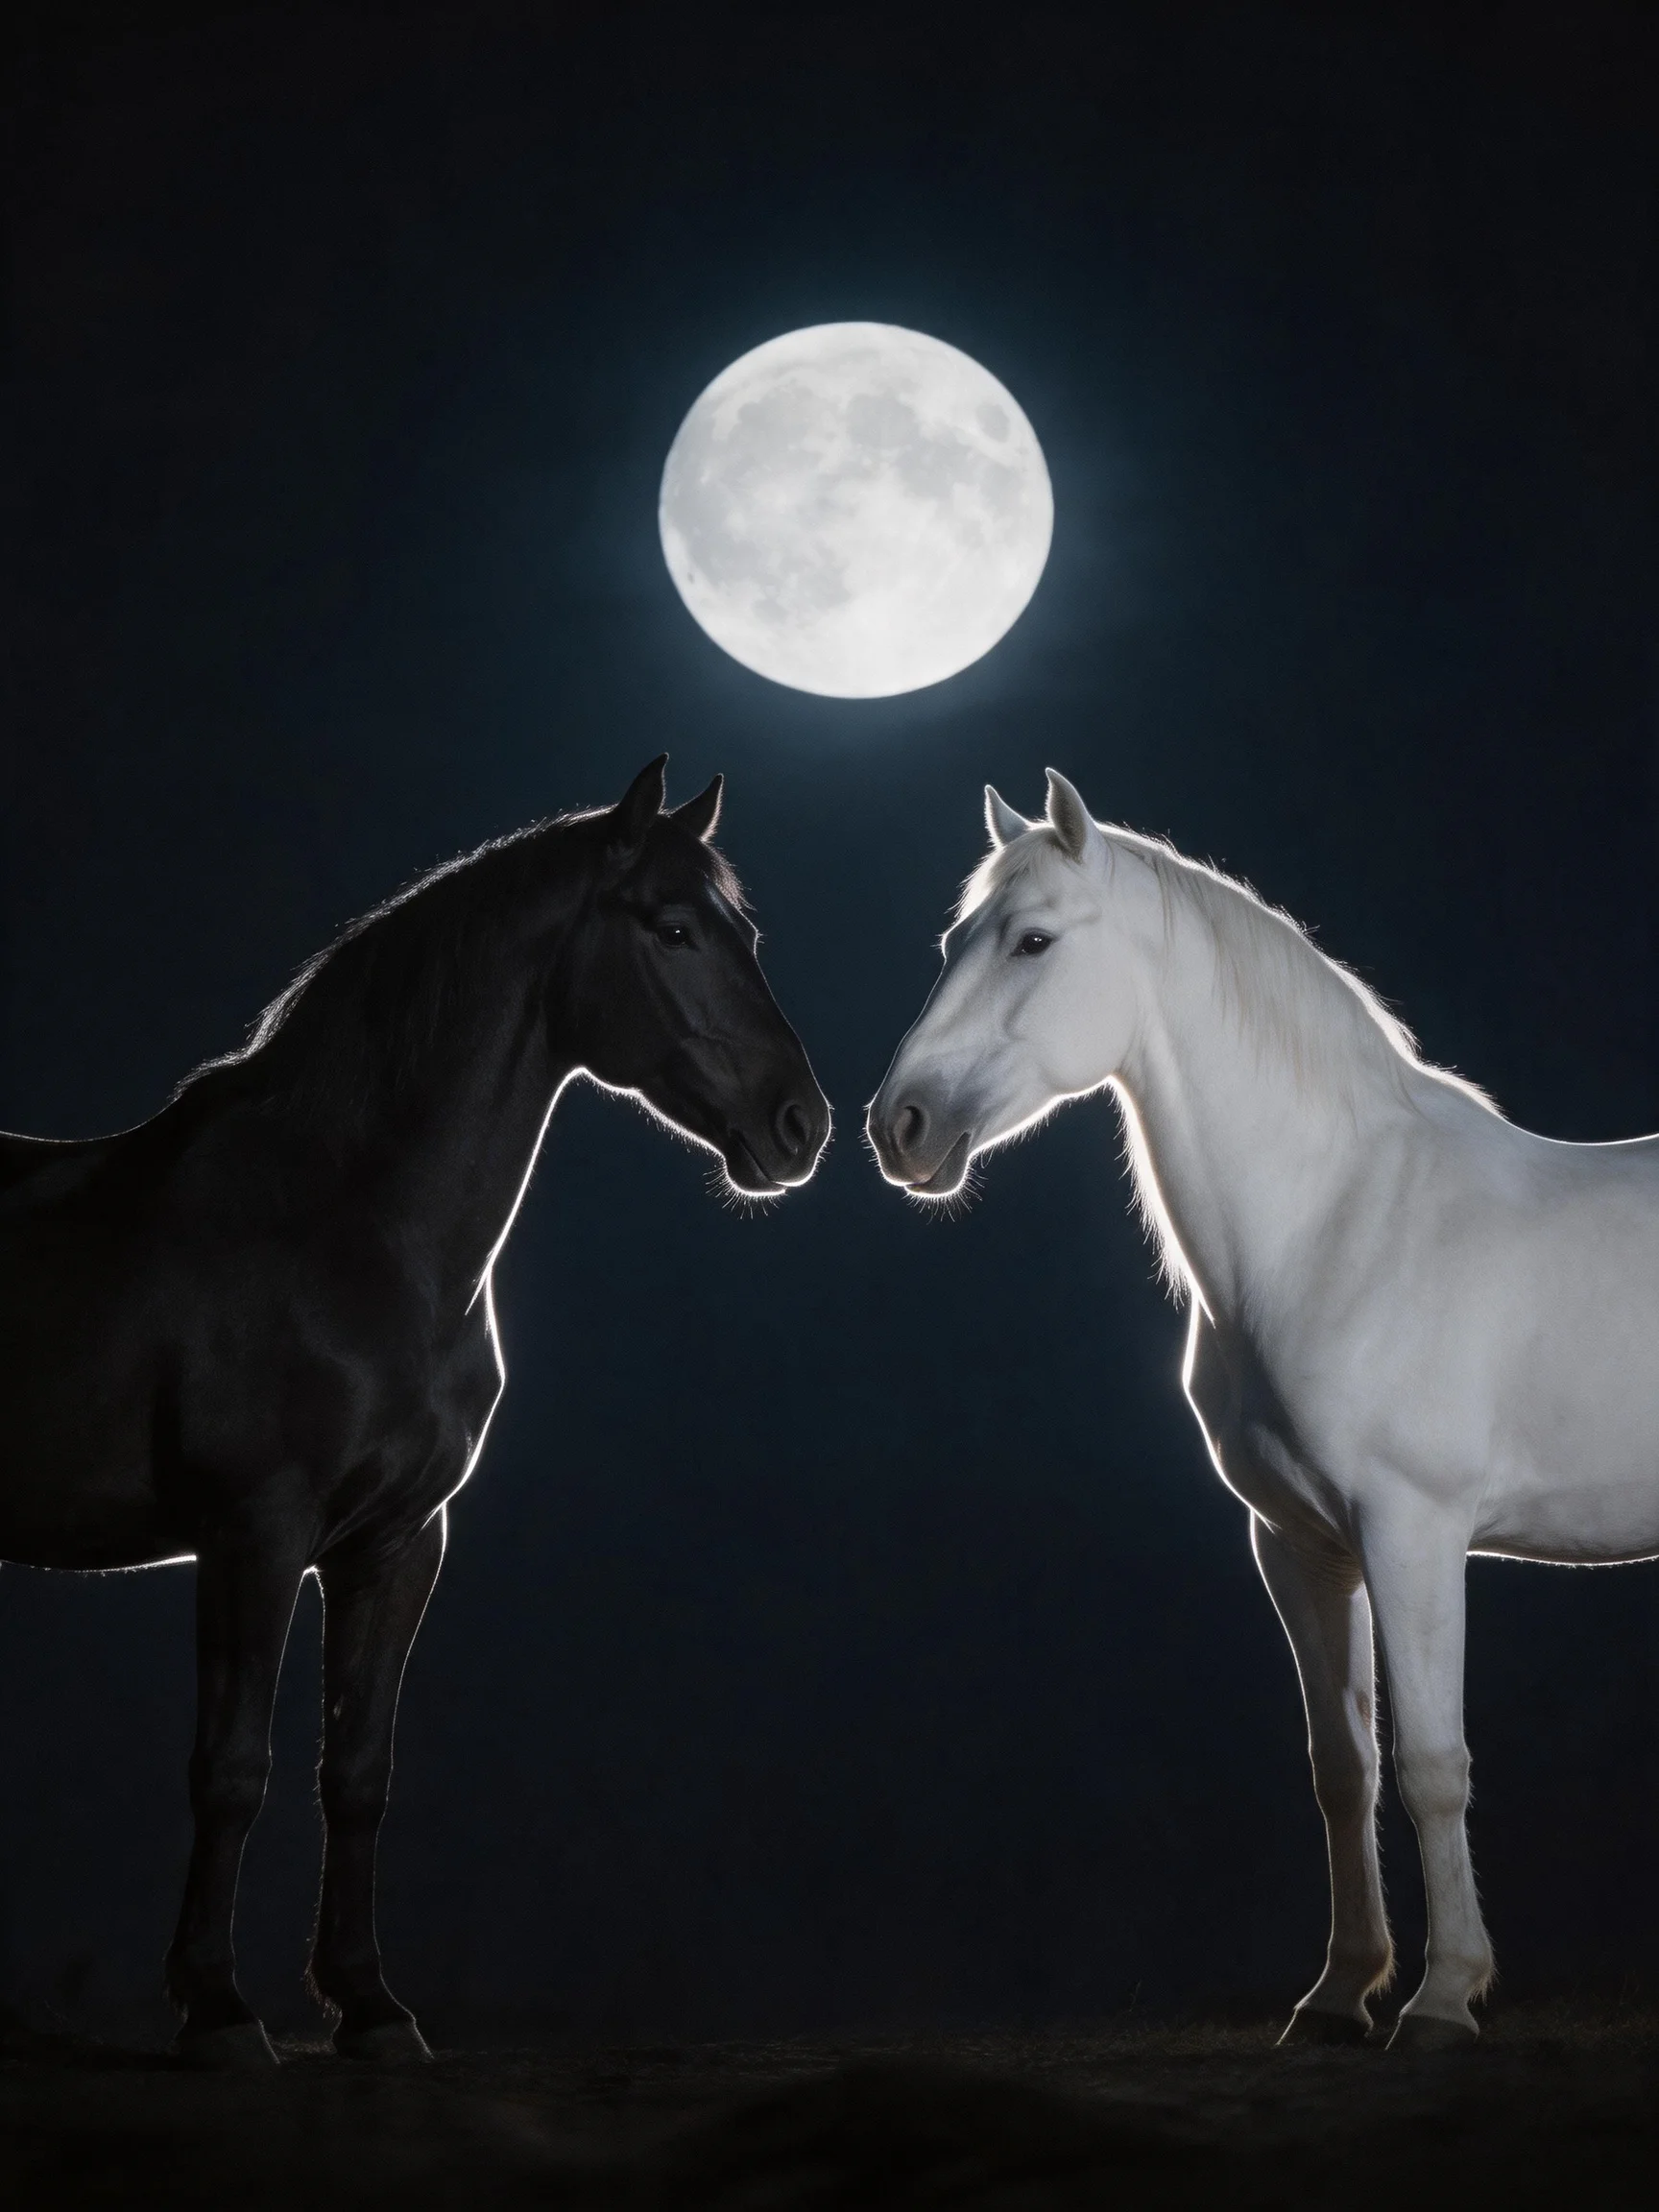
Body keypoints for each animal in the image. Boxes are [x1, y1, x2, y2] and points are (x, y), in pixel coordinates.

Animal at [0, 756, 830, 2067]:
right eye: (673, 928)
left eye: (743, 931)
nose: (802, 1125)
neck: (347, 1231)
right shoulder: (253, 1536)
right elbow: (234, 1766)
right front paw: (219, 2008)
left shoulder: (397, 1543)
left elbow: (359, 1770)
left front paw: (369, 2004)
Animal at [868, 768, 1659, 2050]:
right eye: (954, 941)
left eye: (1034, 940)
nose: (902, 1126)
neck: (1338, 1221)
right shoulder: (1297, 1544)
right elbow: (1342, 1766)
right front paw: (1340, 1992)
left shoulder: (1414, 1532)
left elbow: (1431, 1761)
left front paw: (1443, 1998)